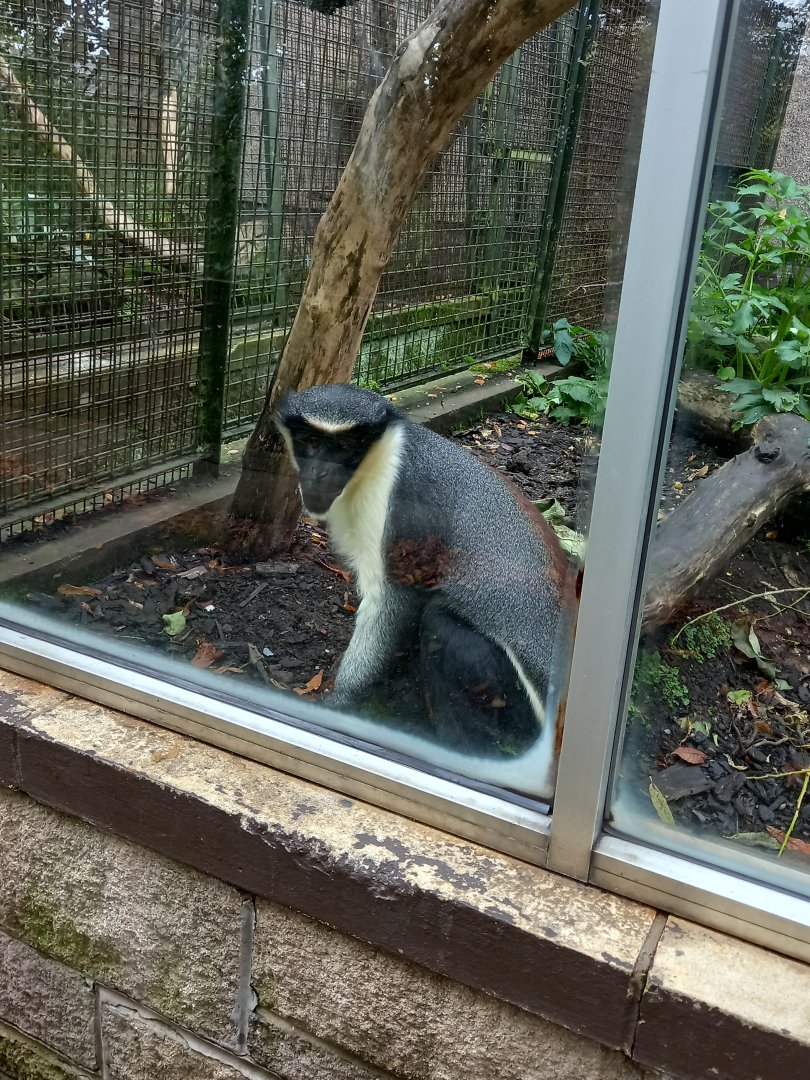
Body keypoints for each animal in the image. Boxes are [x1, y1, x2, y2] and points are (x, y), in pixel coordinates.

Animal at [274, 383, 573, 796]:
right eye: (311, 441)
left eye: (343, 447)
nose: (319, 472)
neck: (381, 455)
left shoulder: (400, 509)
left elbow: (394, 601)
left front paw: (341, 700)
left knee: (440, 625)